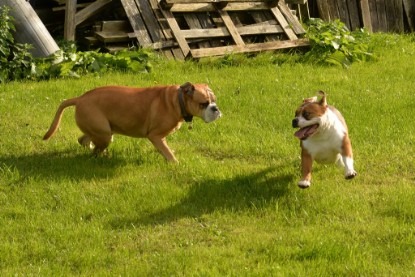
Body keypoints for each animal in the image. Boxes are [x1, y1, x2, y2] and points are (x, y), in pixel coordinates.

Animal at [43, 81, 221, 161]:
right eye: (203, 103)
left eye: (214, 101)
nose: (215, 108)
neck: (177, 101)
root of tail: (80, 98)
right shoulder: (155, 136)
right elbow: (168, 153)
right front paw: (175, 163)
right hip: (105, 134)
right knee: (96, 147)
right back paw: (101, 156)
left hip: (100, 131)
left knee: (84, 139)